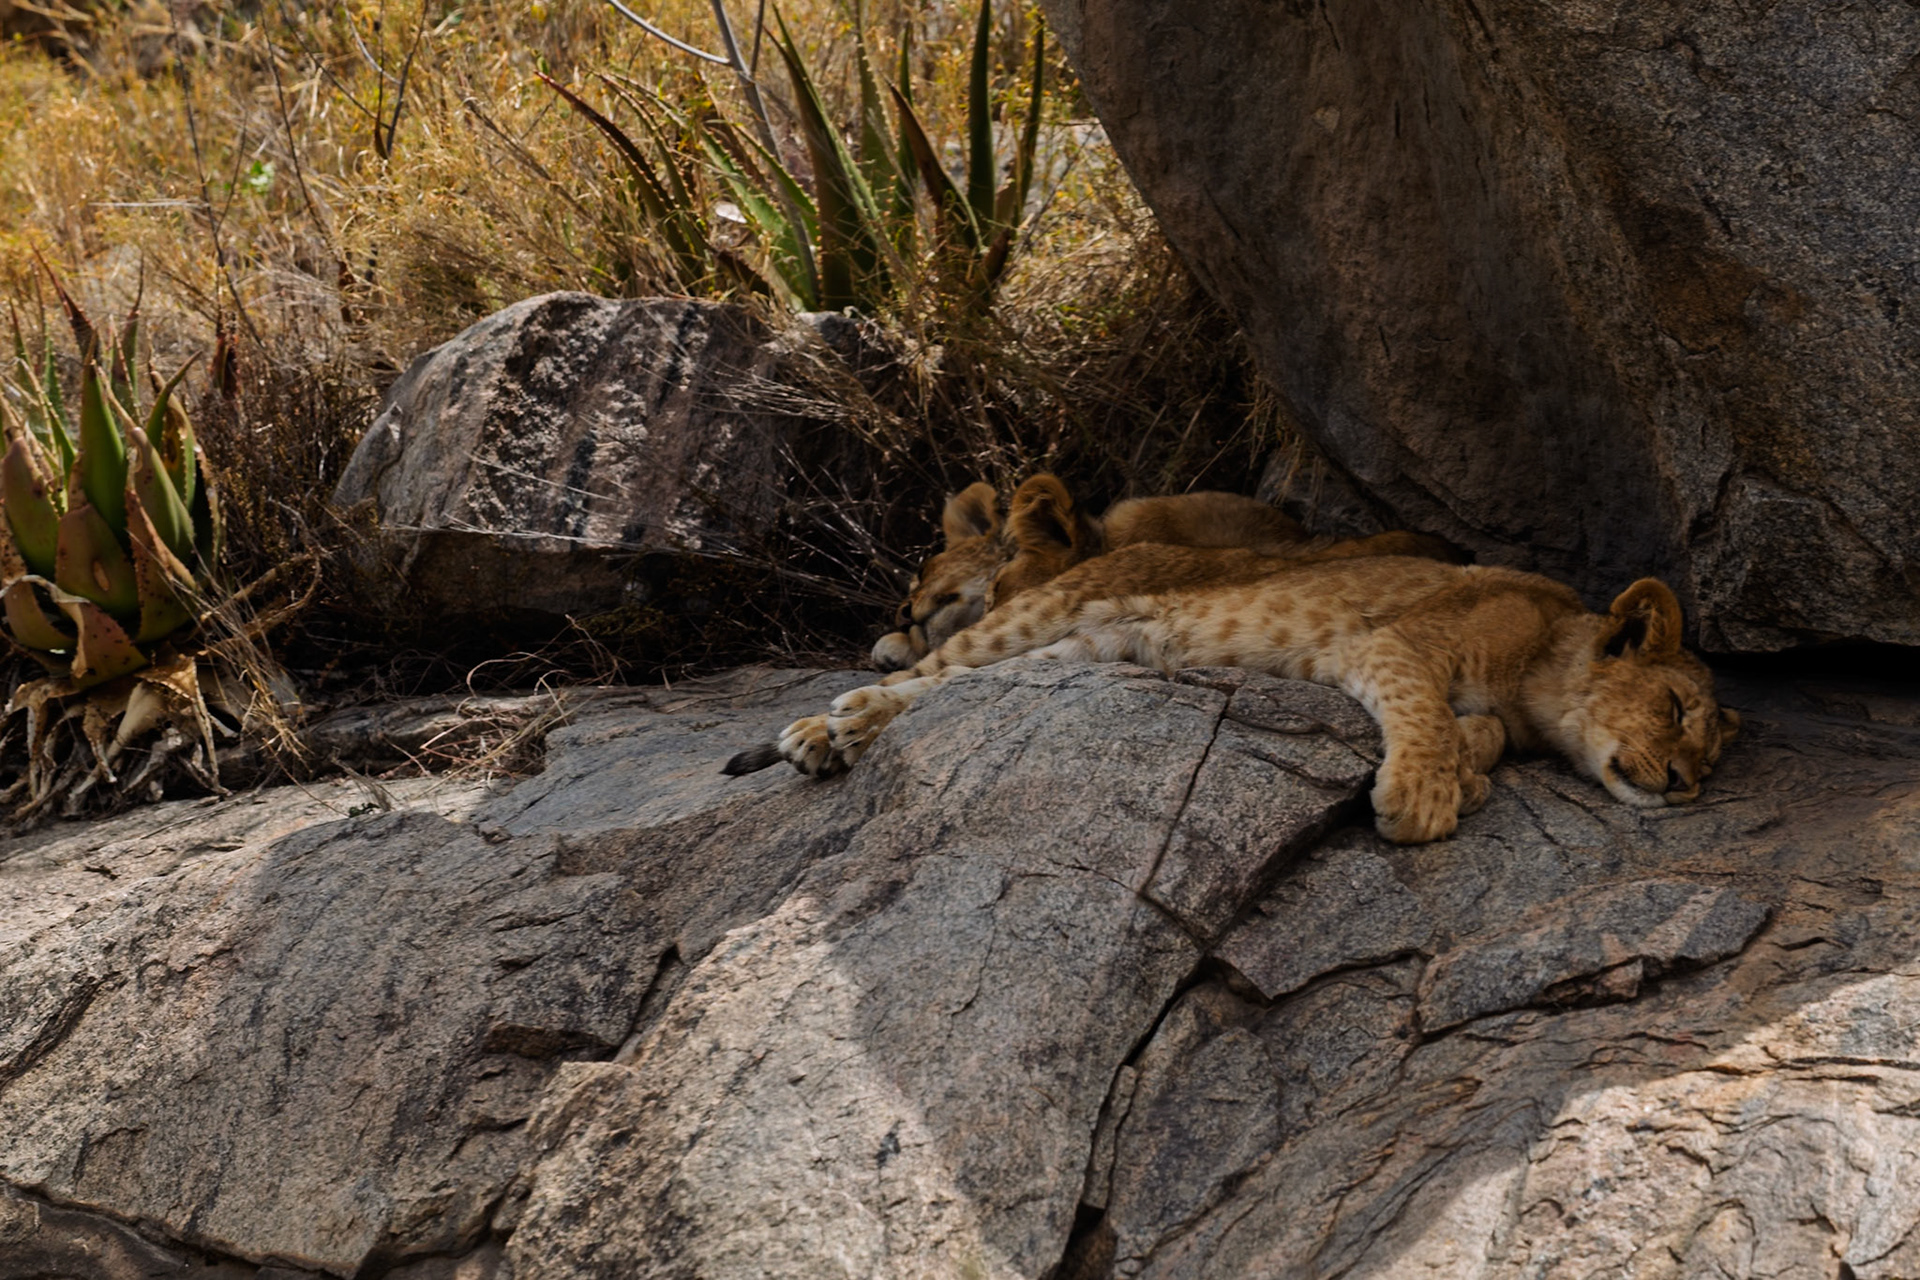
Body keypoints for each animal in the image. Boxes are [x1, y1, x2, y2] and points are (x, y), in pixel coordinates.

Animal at [732, 548, 1738, 846]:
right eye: (1676, 710)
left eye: (1712, 756)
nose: (1685, 785)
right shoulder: (1391, 642)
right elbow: (1423, 711)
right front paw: (1423, 797)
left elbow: (1474, 730)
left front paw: (1468, 773)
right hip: (1039, 613)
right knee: (925, 674)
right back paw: (825, 728)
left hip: (1089, 647)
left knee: (970, 688)